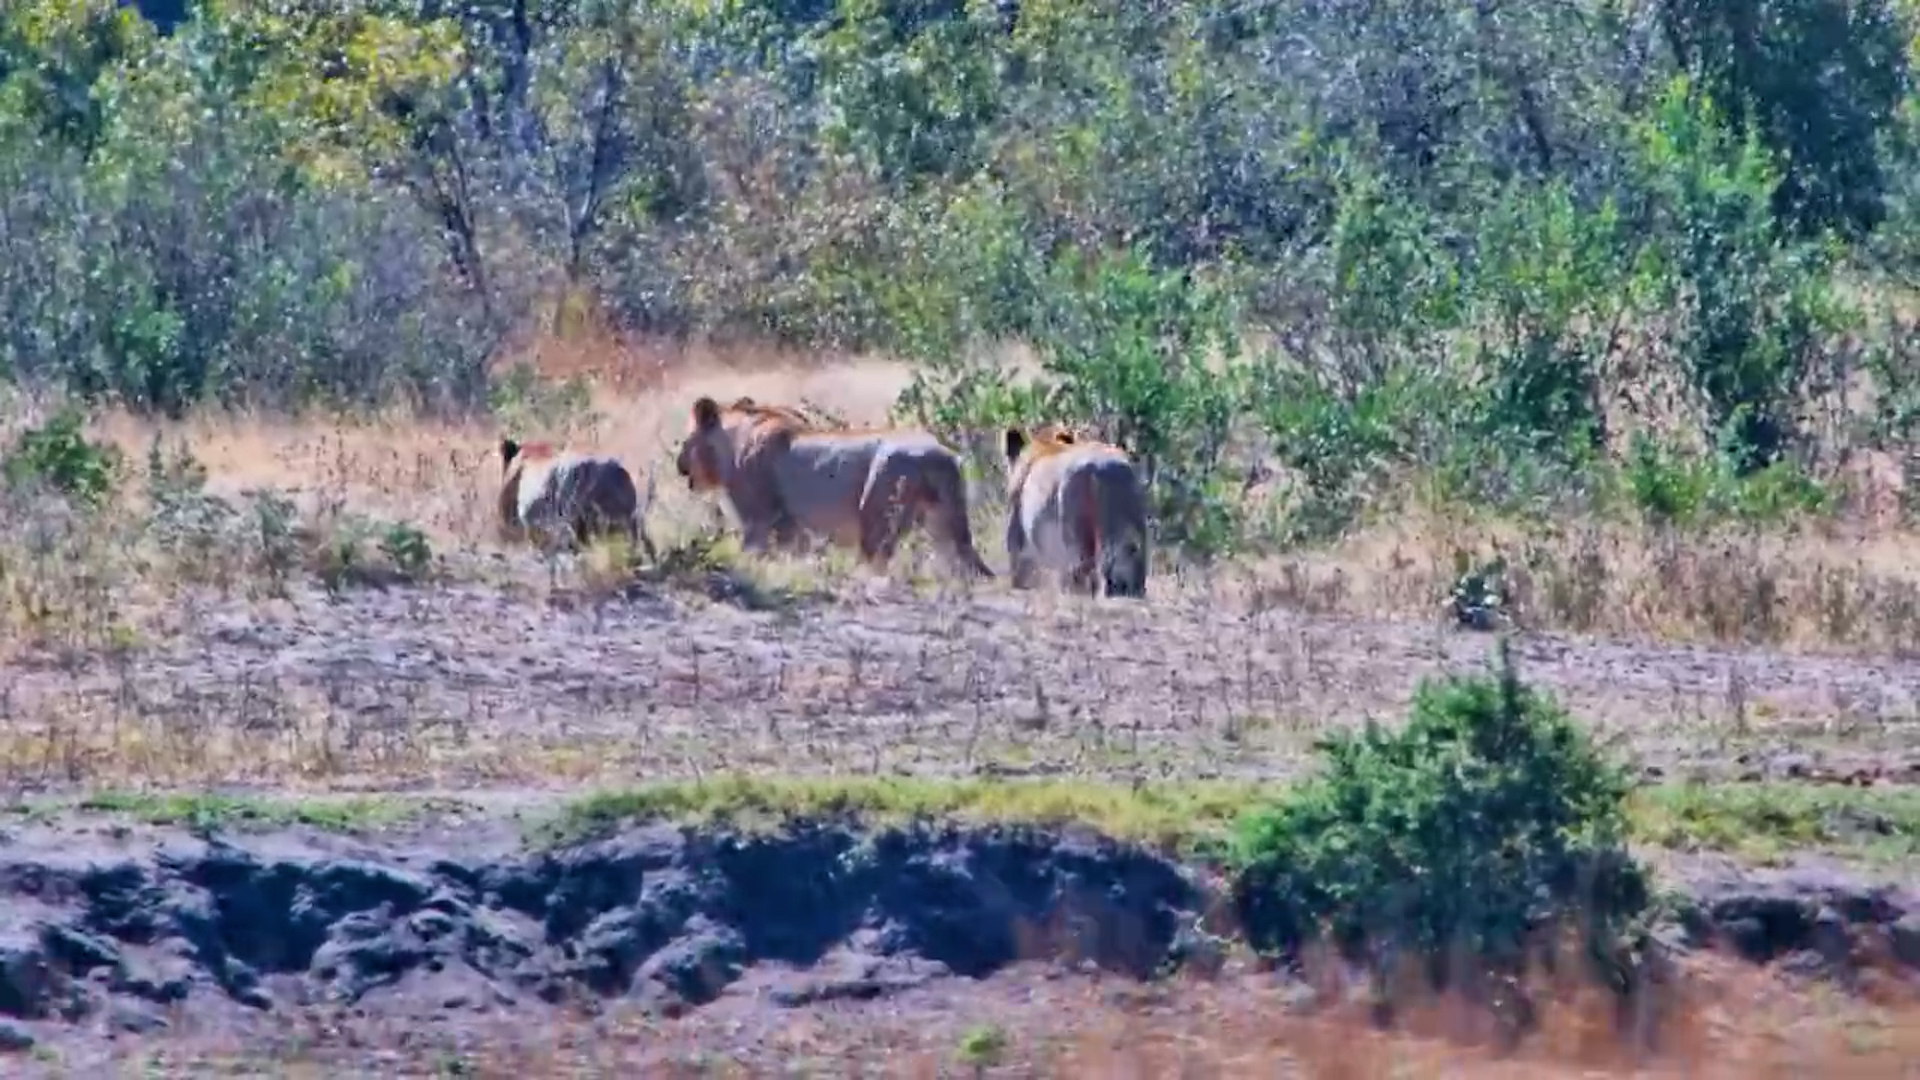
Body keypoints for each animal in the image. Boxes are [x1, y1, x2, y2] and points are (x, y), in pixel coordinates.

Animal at [673, 395, 995, 579]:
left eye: (686, 440)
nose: (679, 464)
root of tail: (943, 456)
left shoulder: (760, 521)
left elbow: (753, 551)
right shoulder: (794, 529)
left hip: (878, 511)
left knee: (874, 561)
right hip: (943, 523)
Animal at [1002, 424, 1149, 599]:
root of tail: (1103, 467)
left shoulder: (1015, 520)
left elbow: (1017, 559)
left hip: (1075, 531)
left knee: (1082, 567)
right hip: (1133, 520)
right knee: (1132, 555)